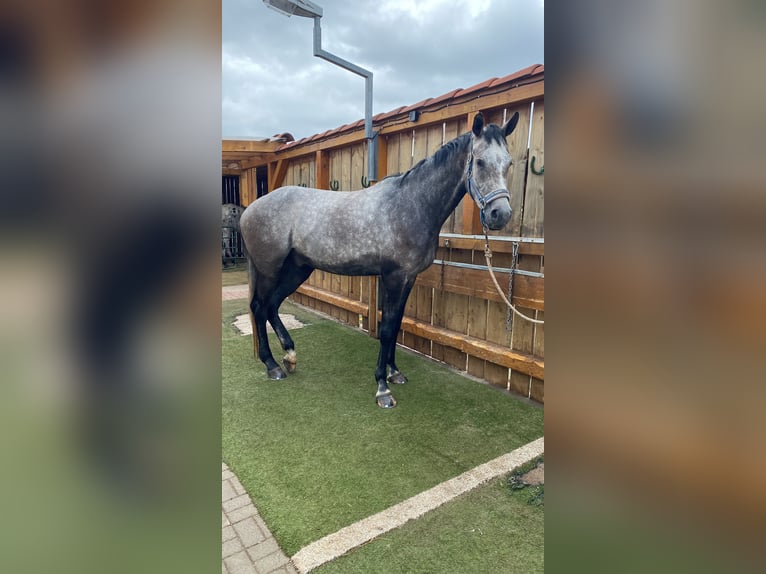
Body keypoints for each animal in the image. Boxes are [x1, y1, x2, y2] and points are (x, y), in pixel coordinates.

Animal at [239, 111, 519, 408]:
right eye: (479, 161)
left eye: (509, 162)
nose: (500, 214)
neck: (411, 205)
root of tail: (249, 210)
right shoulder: (393, 277)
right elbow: (386, 330)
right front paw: (382, 389)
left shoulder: (408, 278)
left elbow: (395, 326)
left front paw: (394, 373)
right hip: (270, 270)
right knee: (259, 307)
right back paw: (272, 365)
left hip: (298, 269)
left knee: (272, 305)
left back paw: (290, 356)